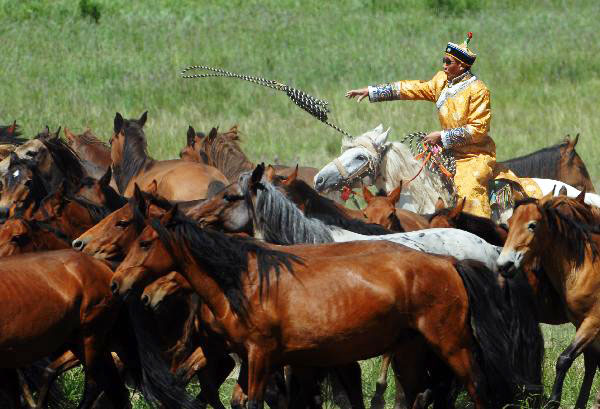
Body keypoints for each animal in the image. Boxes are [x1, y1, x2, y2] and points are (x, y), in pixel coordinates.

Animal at [496, 195, 600, 408]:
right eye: (509, 223)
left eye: (532, 225)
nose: (505, 265)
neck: (585, 266)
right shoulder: (582, 323)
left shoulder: (593, 322)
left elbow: (565, 358)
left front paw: (553, 401)